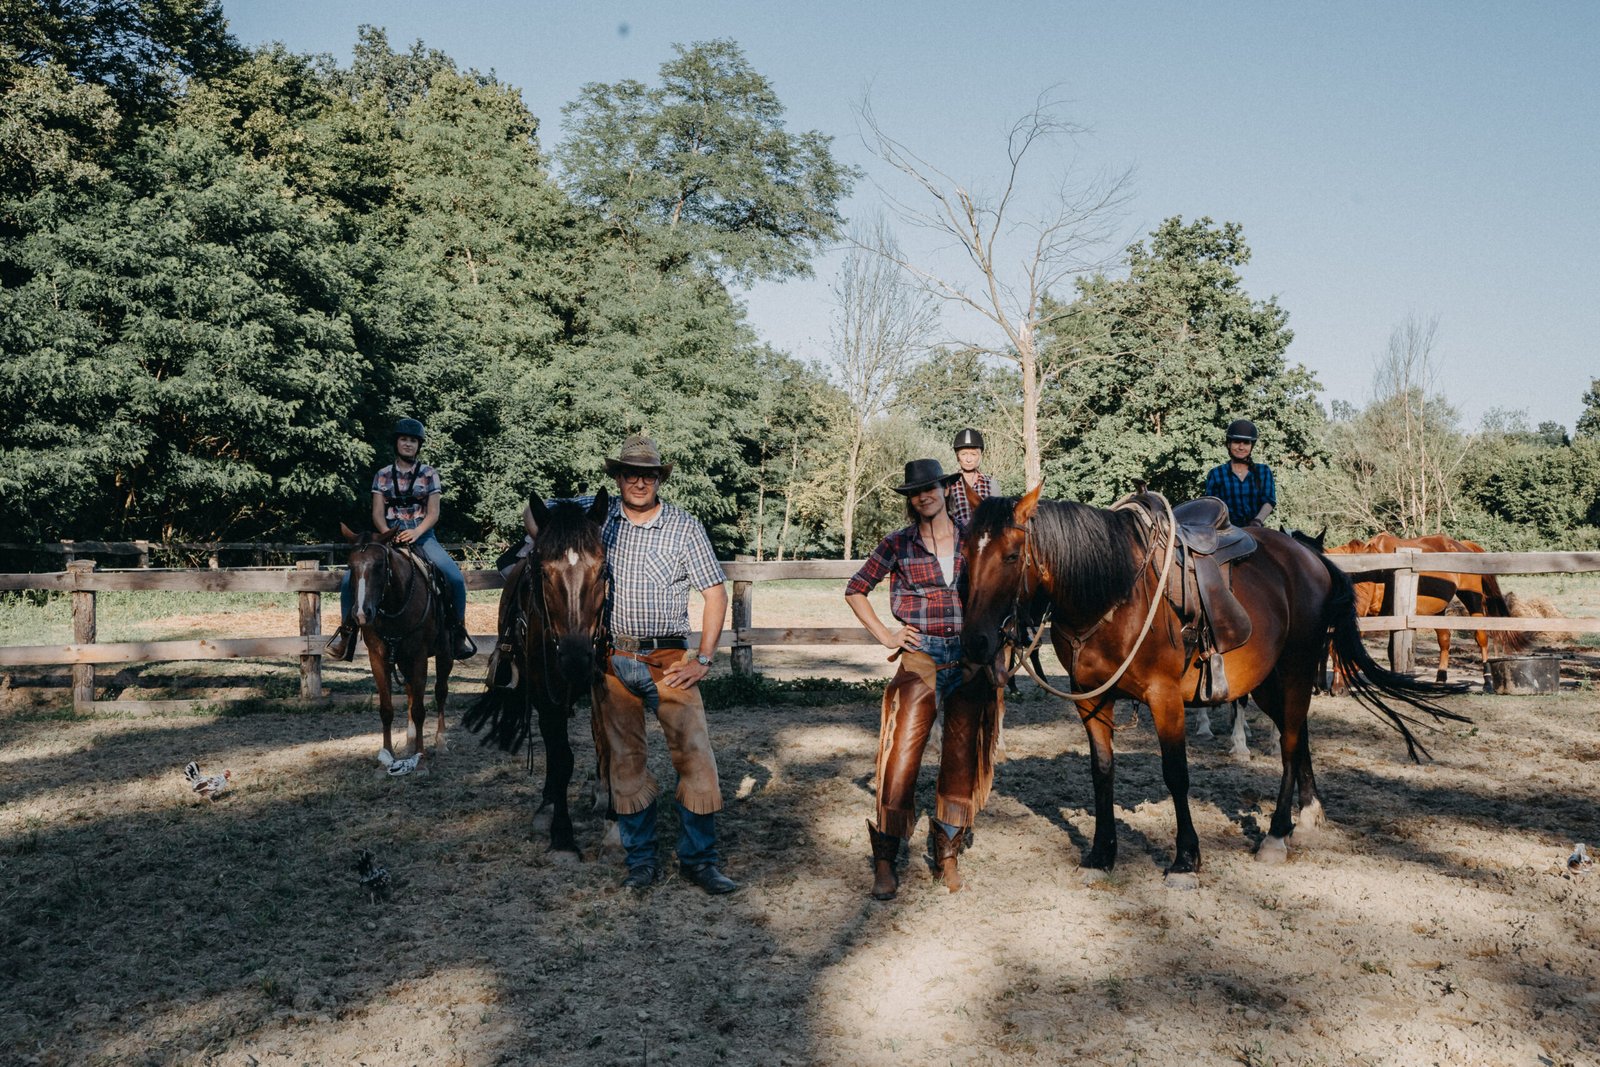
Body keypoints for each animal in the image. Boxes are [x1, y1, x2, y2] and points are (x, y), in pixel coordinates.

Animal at [467, 495, 611, 857]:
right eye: (543, 572)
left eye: (602, 569)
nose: (575, 658)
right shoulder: (547, 697)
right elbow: (561, 759)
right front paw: (562, 836)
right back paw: (547, 806)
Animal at [953, 489, 1465, 883]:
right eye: (965, 554)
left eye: (1012, 555)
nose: (976, 641)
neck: (1113, 593)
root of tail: (1313, 559)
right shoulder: (1092, 701)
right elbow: (1102, 773)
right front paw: (1101, 855)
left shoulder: (1164, 699)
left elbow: (1176, 774)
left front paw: (1185, 859)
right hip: (1268, 682)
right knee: (1297, 735)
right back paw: (1308, 812)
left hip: (1297, 669)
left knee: (1290, 742)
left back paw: (1276, 834)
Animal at [1318, 534, 1529, 684]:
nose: (1337, 689)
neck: (1378, 572)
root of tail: (1463, 546)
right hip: (1437, 611)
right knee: (1445, 640)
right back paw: (1441, 676)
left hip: (1473, 601)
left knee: (1481, 637)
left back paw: (1487, 680)